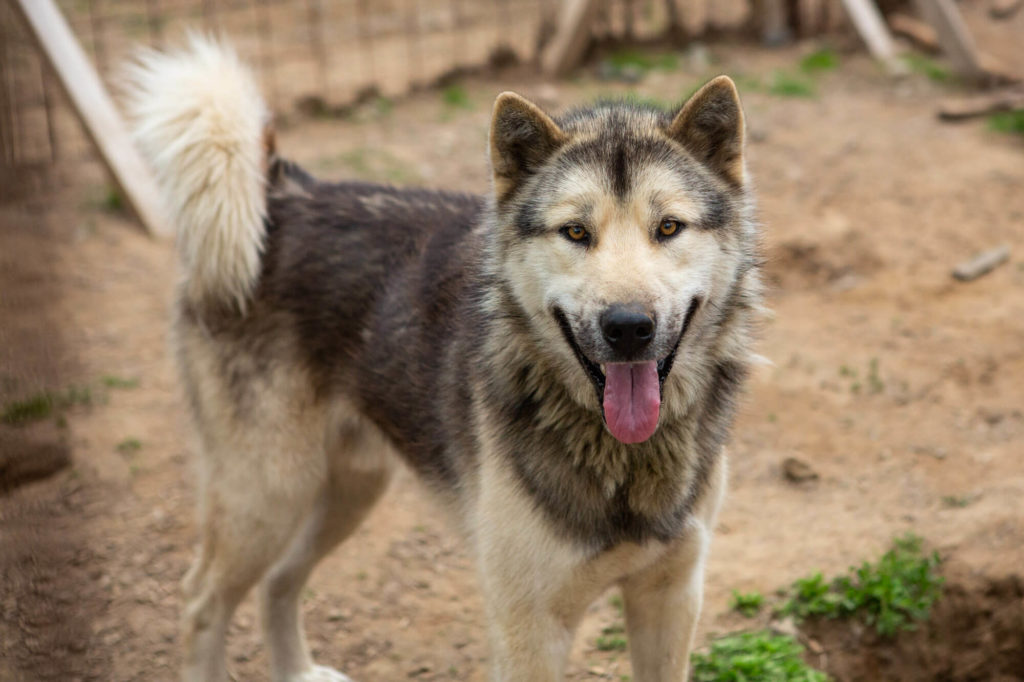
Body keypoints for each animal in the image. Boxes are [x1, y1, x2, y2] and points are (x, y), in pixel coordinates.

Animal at [125, 35, 761, 679]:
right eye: (576, 233)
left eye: (669, 227)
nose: (628, 328)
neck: (620, 457)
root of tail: (281, 195)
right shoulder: (529, 630)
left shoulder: (671, 595)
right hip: (269, 493)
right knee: (201, 601)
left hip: (349, 488)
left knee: (279, 579)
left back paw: (299, 671)